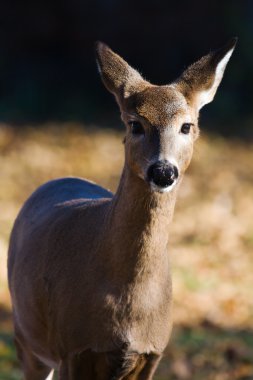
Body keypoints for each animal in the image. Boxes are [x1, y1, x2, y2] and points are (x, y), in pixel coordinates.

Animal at [8, 39, 237, 380]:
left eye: (187, 126)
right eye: (135, 124)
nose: (163, 171)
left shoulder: (152, 353)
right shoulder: (71, 349)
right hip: (26, 336)